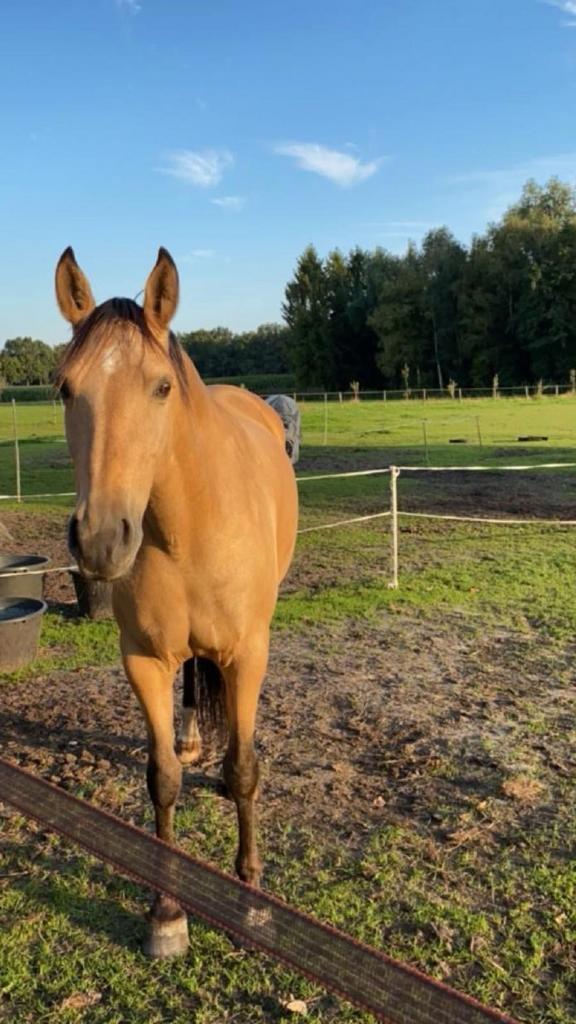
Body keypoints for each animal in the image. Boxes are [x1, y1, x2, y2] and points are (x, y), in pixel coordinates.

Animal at [54, 247, 299, 957]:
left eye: (161, 387)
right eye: (64, 387)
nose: (101, 538)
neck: (191, 523)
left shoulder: (247, 655)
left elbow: (244, 769)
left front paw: (250, 899)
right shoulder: (142, 660)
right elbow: (160, 778)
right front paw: (166, 912)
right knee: (192, 680)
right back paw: (194, 740)